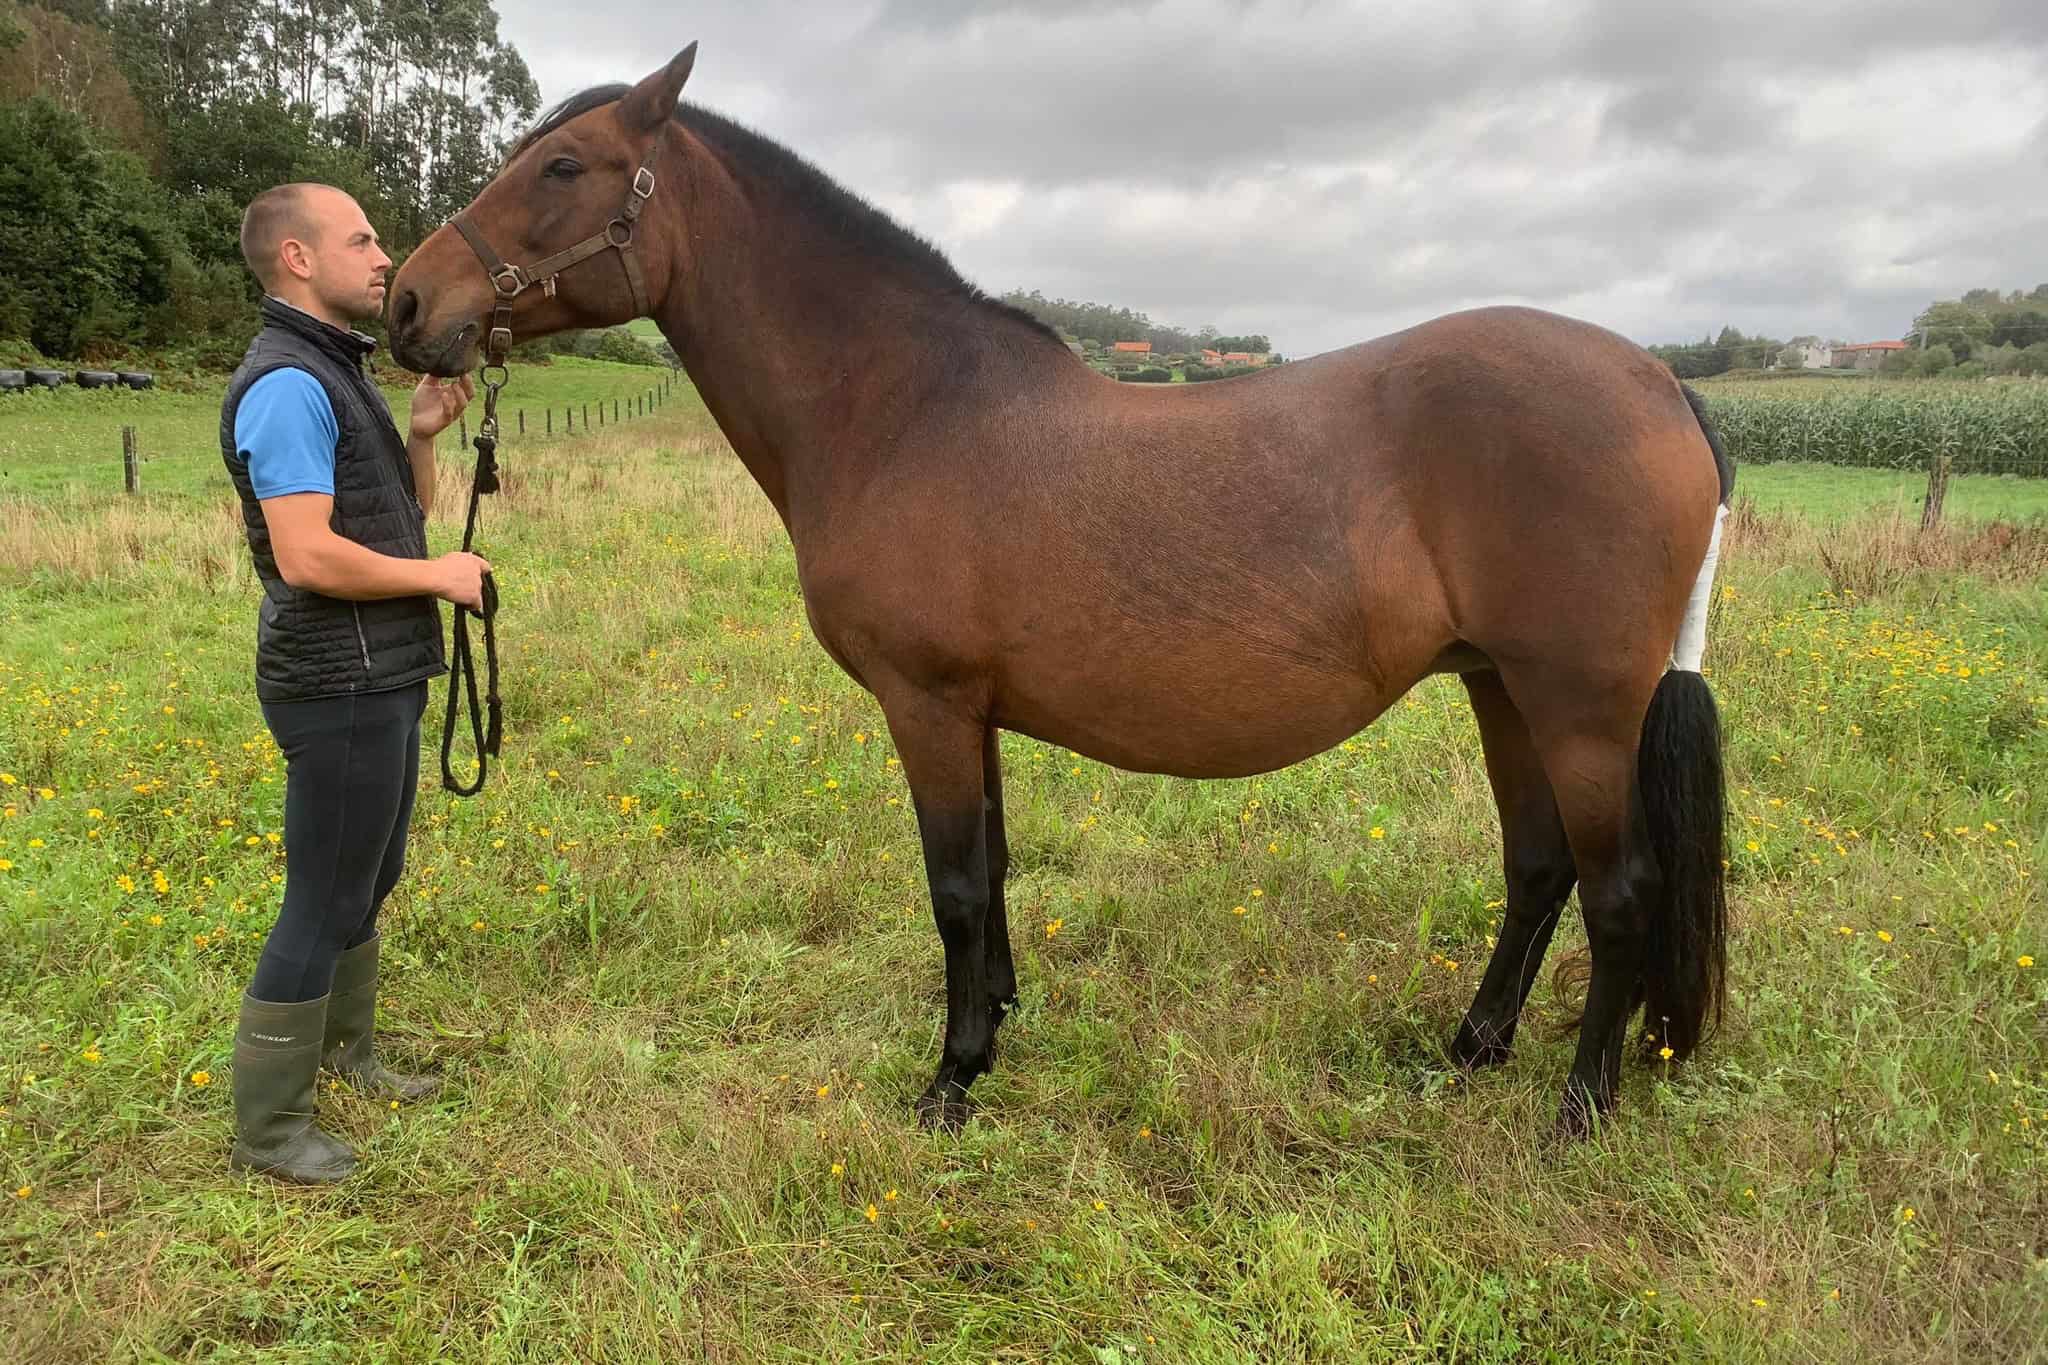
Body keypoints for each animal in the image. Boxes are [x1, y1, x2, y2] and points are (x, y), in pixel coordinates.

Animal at [385, 42, 1728, 1137]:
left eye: (563, 165)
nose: (404, 301)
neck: (902, 406)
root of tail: (1655, 383)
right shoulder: (969, 709)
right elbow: (992, 869)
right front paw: (997, 1023)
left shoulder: (923, 703)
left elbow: (952, 884)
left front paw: (950, 1077)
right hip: (1500, 689)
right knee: (1537, 869)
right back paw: (1468, 1050)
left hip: (1577, 706)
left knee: (1618, 892)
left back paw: (1577, 1106)